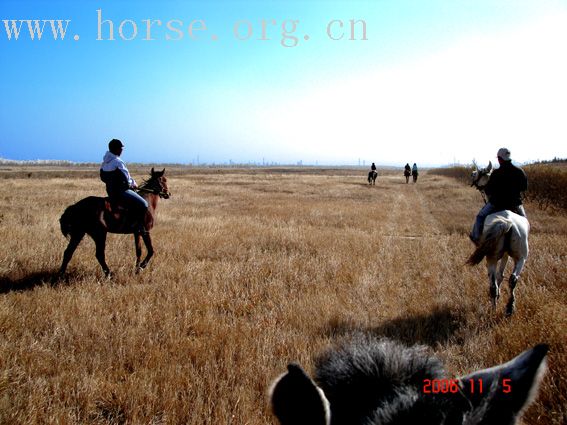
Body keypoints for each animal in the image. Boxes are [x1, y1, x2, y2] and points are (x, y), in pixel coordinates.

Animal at [468, 162, 532, 314]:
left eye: (479, 172)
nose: (471, 174)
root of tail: (508, 222)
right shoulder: (506, 255)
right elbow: (501, 275)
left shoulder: (503, 255)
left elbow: (500, 275)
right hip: (521, 257)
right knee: (512, 279)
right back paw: (509, 307)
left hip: (493, 257)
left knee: (494, 284)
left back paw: (495, 306)